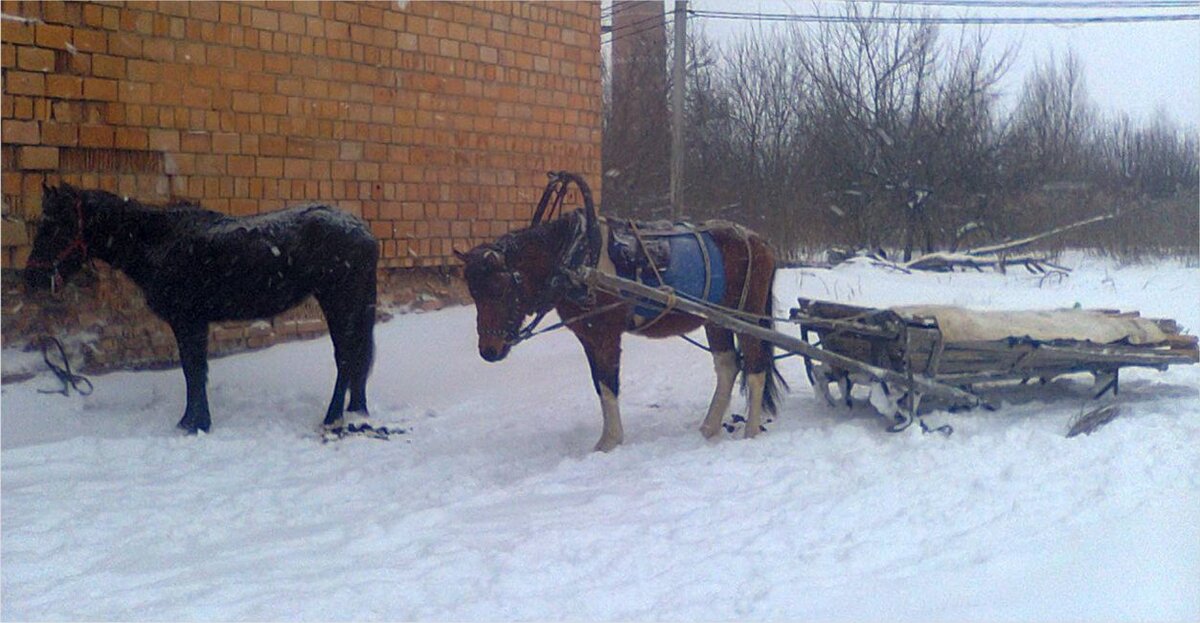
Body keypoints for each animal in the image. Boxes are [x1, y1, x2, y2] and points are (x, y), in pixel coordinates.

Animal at [25, 186, 376, 434]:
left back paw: (332, 418)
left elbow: (192, 370)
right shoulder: (193, 323)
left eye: (55, 227)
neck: (159, 242)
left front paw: (194, 424)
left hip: (339, 303)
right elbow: (195, 370)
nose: (32, 278)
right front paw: (193, 421)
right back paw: (356, 411)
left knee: (346, 358)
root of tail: (364, 233)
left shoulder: (188, 322)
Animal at [453, 182, 782, 451]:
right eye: (474, 293)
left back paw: (750, 431)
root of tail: (759, 241)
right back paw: (709, 428)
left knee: (755, 366)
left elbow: (609, 384)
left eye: (499, 289)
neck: (575, 258)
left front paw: (609, 442)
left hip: (747, 316)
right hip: (717, 319)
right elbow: (600, 385)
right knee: (728, 366)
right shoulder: (588, 337)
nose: (489, 351)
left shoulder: (605, 335)